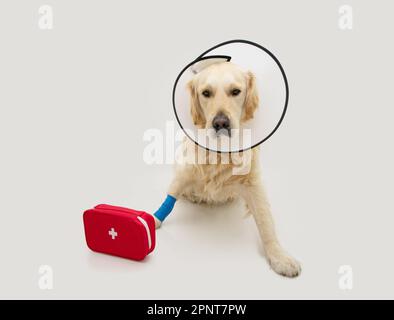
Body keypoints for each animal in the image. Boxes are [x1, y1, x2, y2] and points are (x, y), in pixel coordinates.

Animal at [155, 61, 300, 276]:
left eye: (235, 91)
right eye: (206, 93)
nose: (220, 123)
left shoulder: (253, 183)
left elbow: (265, 220)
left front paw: (279, 256)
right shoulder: (186, 171)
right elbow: (170, 195)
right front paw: (151, 220)